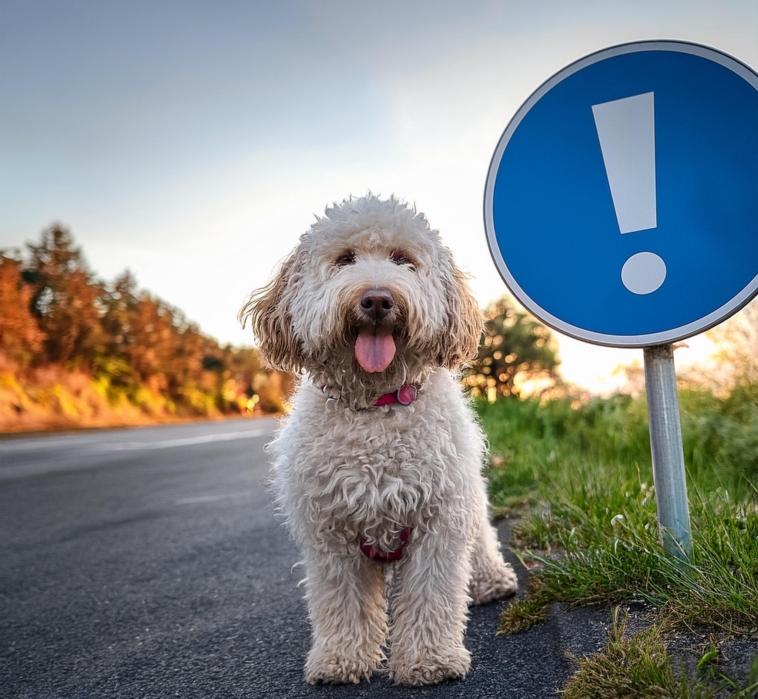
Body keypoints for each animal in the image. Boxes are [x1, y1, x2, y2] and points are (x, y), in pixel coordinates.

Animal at [242, 194, 516, 688]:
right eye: (344, 259)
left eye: (403, 260)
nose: (376, 299)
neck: (376, 407)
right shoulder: (331, 535)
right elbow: (342, 602)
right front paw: (341, 659)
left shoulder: (438, 521)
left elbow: (431, 596)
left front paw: (430, 661)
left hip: (469, 502)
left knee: (482, 538)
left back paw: (491, 581)